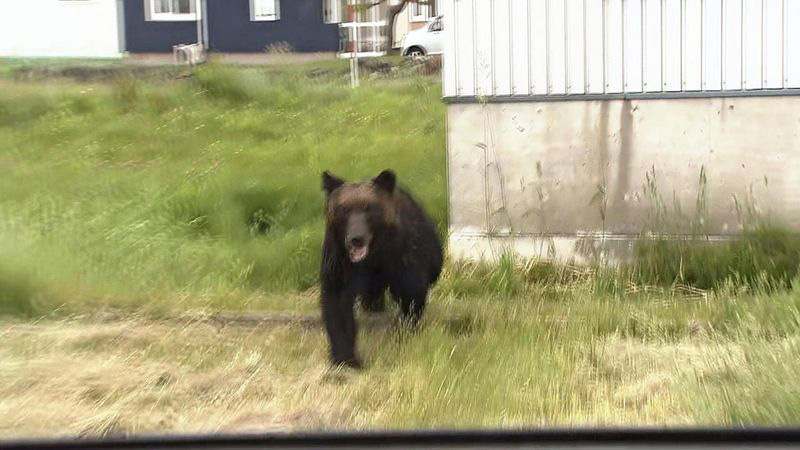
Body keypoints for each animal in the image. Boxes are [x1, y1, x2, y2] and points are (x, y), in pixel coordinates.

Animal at [318, 171, 444, 368]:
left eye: (368, 207)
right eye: (344, 209)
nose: (356, 238)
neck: (372, 256)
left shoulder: (401, 258)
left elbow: (410, 296)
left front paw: (403, 333)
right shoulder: (339, 261)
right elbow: (337, 305)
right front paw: (345, 357)